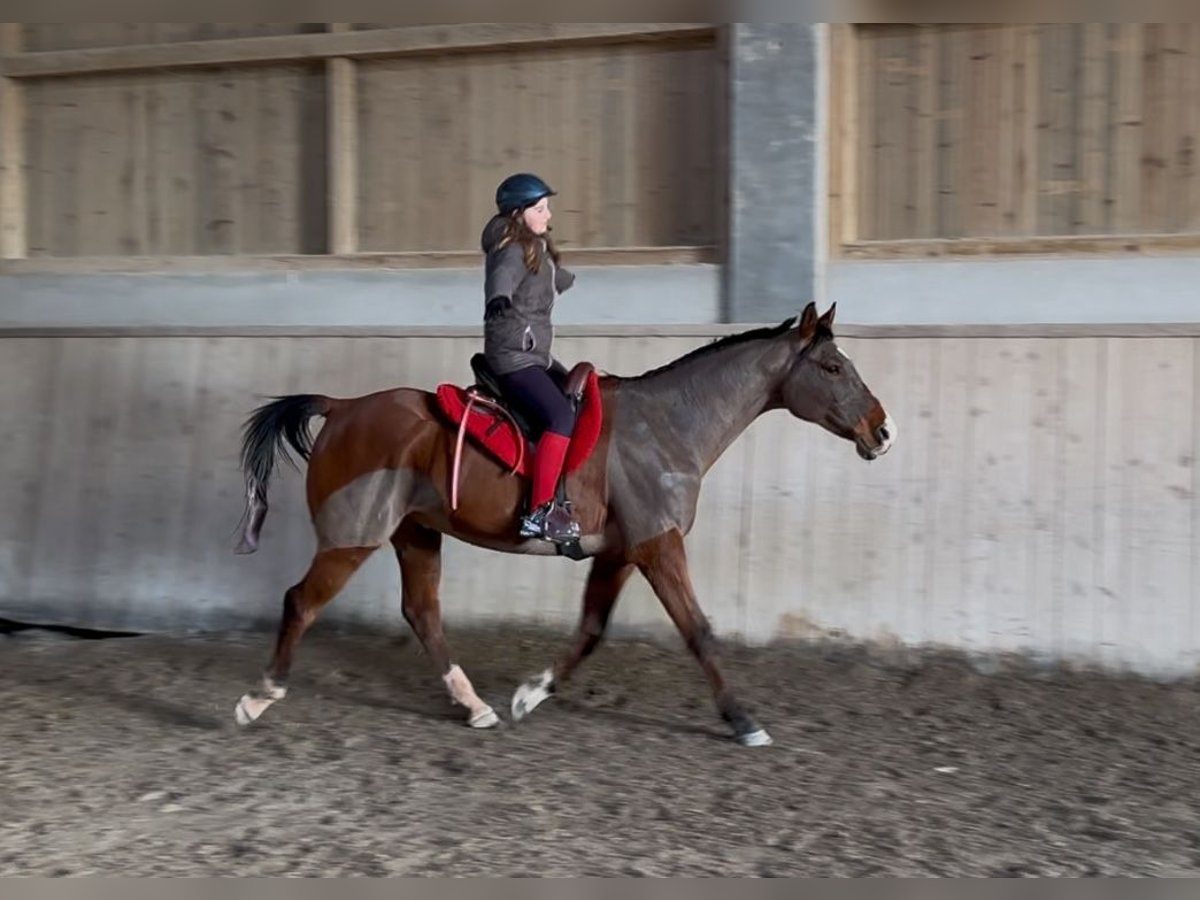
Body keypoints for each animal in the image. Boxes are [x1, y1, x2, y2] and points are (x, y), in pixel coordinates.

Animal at [229, 303, 897, 748]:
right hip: (354, 536)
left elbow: (592, 630)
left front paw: (531, 693)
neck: (666, 426)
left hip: (415, 532)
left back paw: (475, 706)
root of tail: (342, 408)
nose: (882, 430)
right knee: (301, 602)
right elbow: (699, 632)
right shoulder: (658, 546)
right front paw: (743, 720)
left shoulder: (620, 552)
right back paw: (259, 697)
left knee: (421, 612)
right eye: (832, 367)